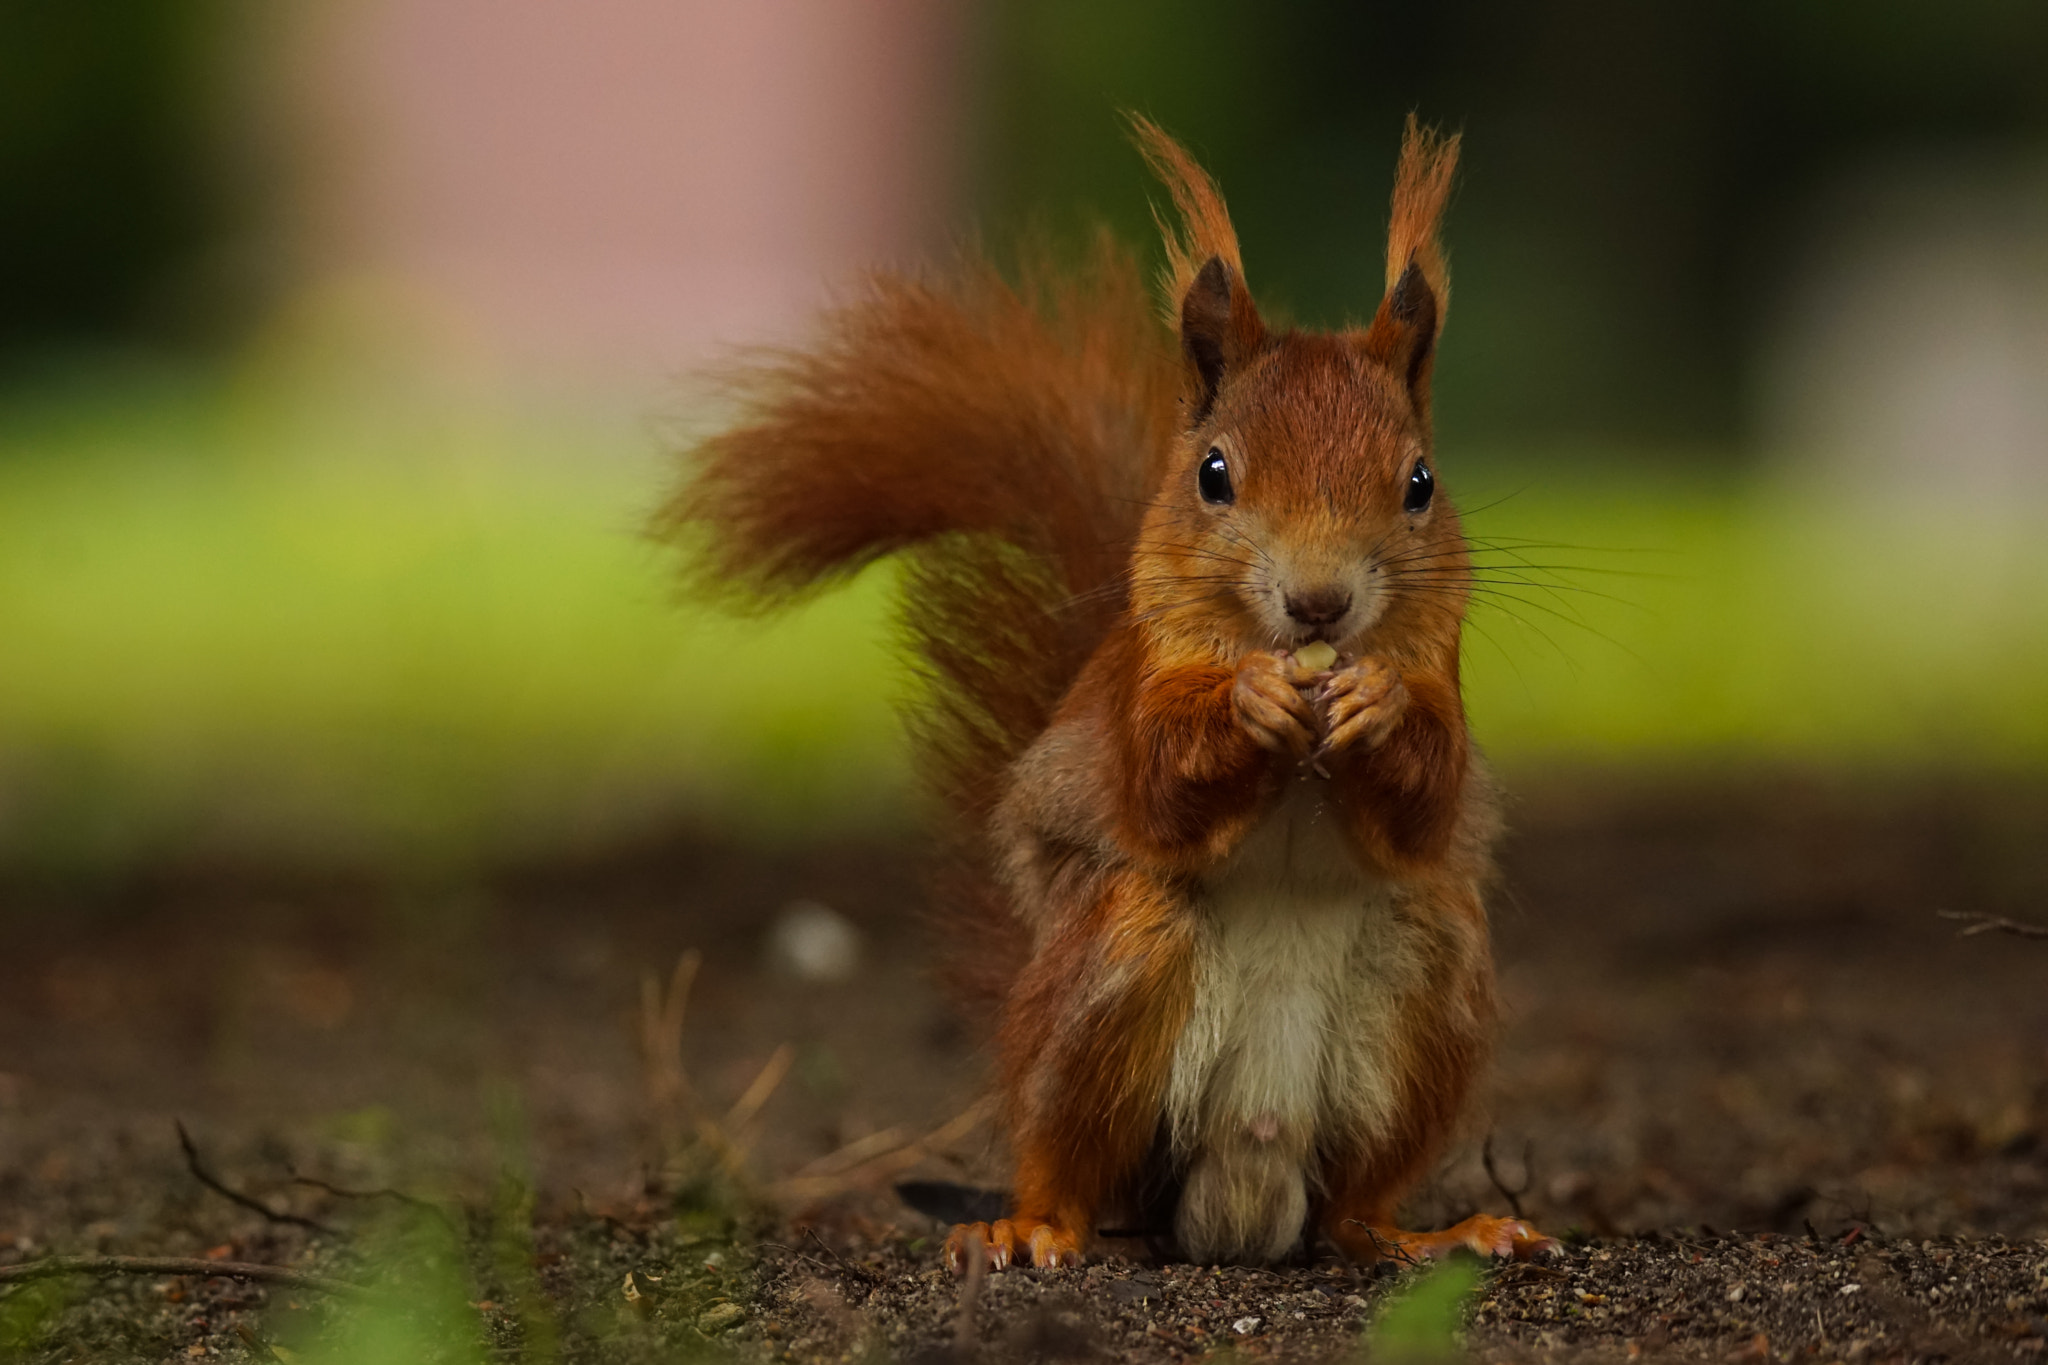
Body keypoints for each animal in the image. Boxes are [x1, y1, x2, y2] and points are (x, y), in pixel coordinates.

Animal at [665, 115, 1557, 1273]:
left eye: (1419, 484)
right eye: (1213, 474)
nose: (1317, 604)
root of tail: (1239, 1193)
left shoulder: (1440, 685)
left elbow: (1431, 805)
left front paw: (1378, 711)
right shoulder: (1136, 690)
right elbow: (1153, 789)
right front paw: (1248, 704)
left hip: (1425, 970)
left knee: (1351, 1211)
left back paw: (1438, 1233)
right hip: (1109, 979)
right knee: (1073, 1166)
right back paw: (1031, 1225)